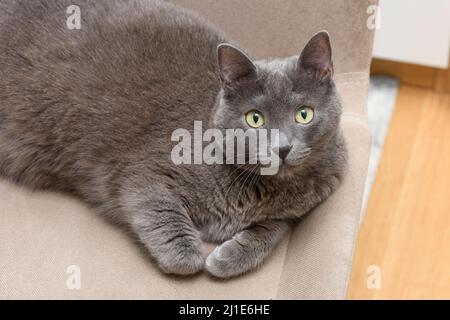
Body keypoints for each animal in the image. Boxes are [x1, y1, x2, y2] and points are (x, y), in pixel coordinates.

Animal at [0, 0, 348, 278]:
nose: (283, 148)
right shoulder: (145, 174)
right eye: (255, 119)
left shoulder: (294, 210)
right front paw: (191, 257)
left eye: (304, 114)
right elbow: (163, 217)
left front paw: (228, 257)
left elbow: (274, 229)